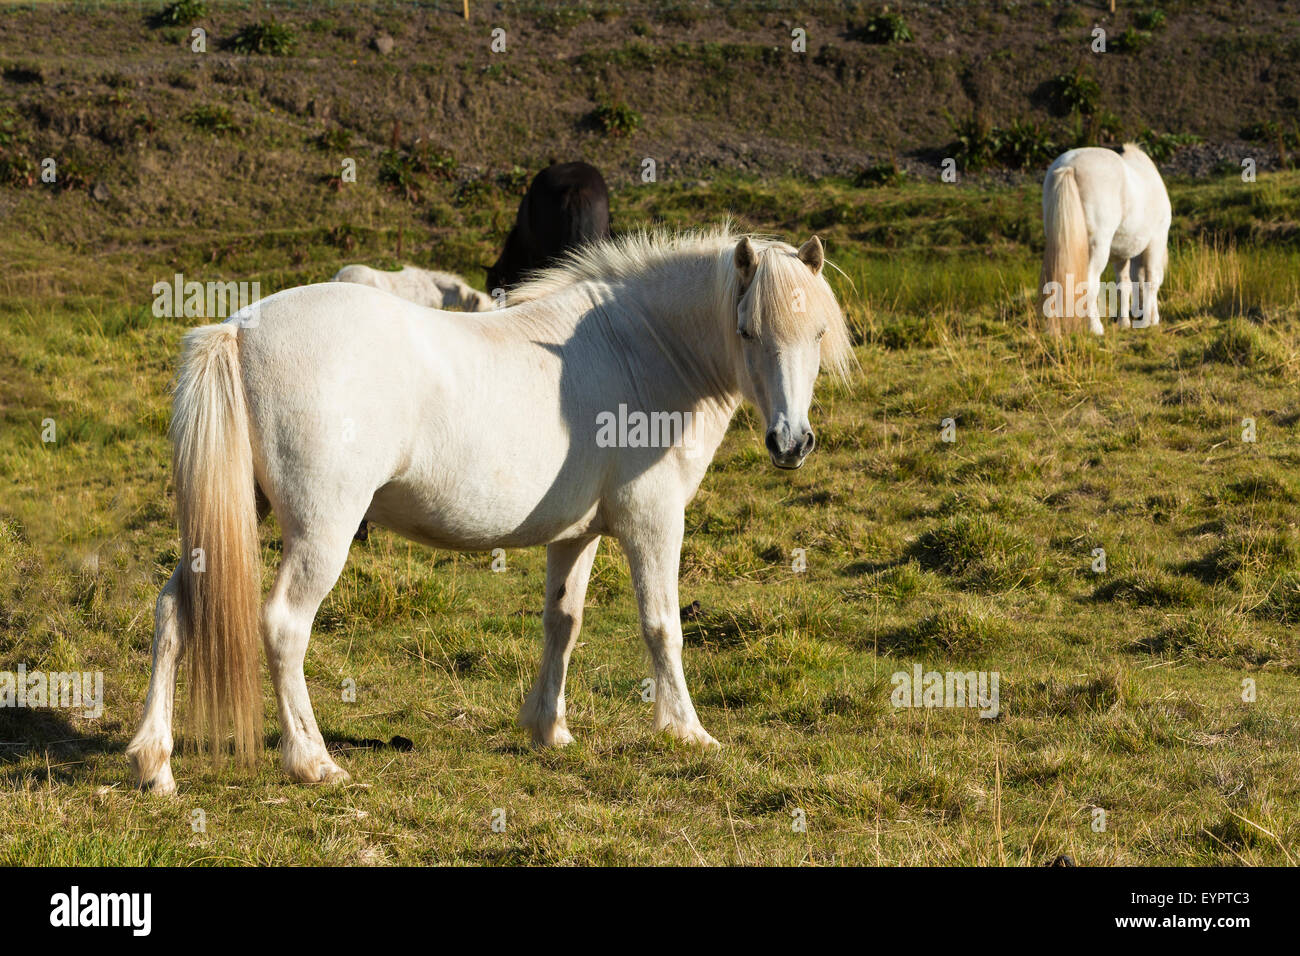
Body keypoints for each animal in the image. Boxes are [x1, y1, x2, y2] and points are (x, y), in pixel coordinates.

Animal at [1040, 143, 1175, 335]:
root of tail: (1069, 166)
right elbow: (1151, 279)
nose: (1139, 314)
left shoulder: (1122, 253)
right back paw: (1095, 328)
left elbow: (1125, 285)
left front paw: (1124, 322)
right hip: (1098, 247)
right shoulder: (1155, 241)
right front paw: (1152, 320)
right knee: (1089, 283)